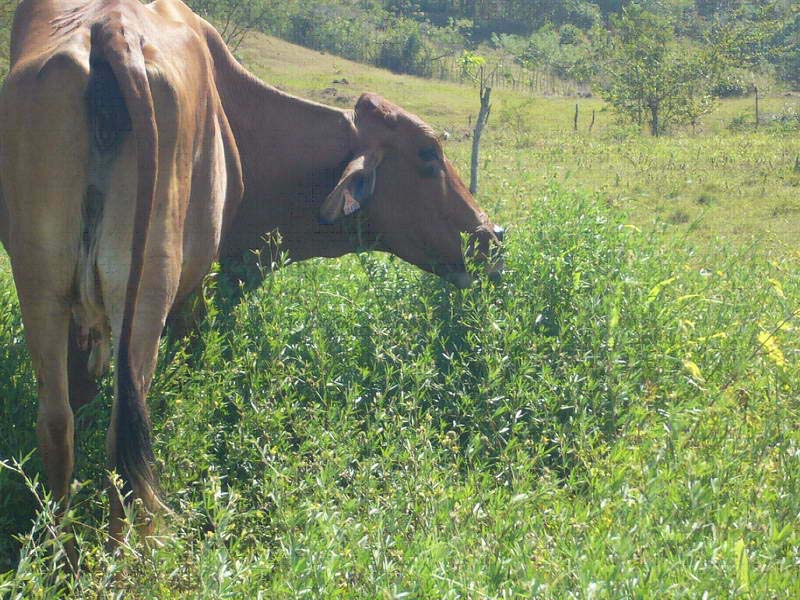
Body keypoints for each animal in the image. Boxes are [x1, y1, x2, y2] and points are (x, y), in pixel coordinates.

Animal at [0, 0, 500, 564]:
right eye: (428, 156)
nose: (493, 235)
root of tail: (111, 29)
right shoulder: (202, 286)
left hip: (40, 282)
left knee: (57, 423)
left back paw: (58, 554)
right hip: (147, 288)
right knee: (124, 432)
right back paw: (122, 559)